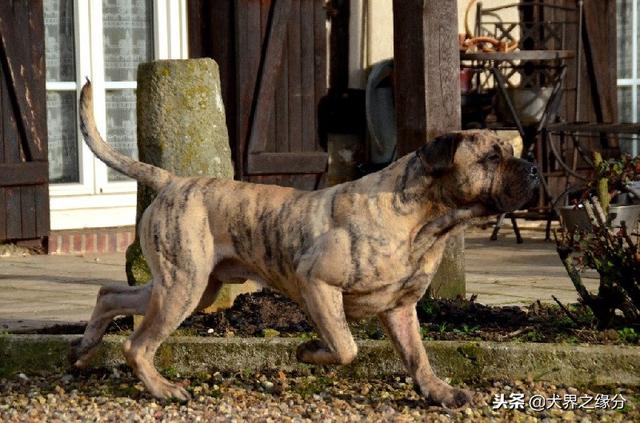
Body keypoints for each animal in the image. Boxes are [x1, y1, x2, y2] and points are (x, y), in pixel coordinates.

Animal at [71, 81, 540, 410]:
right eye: (492, 158)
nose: (534, 168)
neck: (425, 221)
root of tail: (171, 180)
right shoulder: (317, 282)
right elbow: (346, 346)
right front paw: (309, 350)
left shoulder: (400, 309)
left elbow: (417, 356)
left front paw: (438, 392)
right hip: (182, 287)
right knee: (137, 344)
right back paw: (163, 389)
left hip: (189, 285)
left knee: (110, 294)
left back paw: (85, 347)